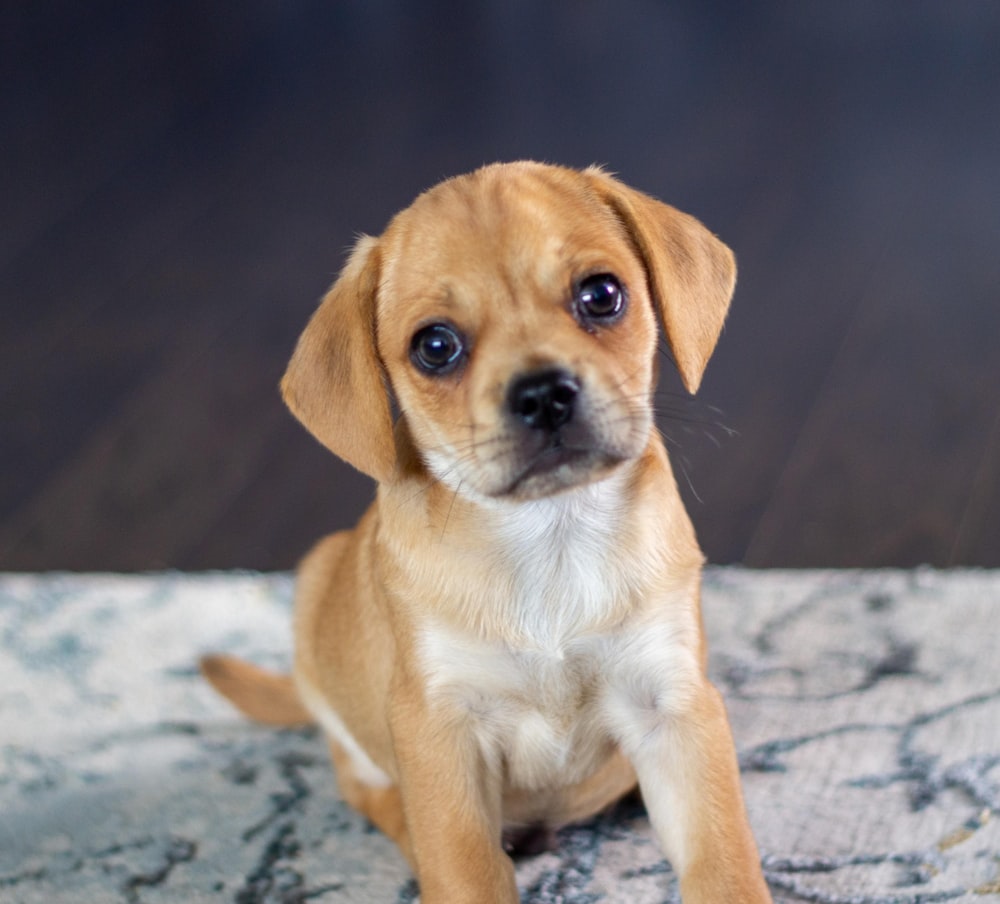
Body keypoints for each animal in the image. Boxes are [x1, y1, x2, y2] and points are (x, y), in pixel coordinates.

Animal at [199, 164, 768, 904]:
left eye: (602, 294)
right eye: (435, 346)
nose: (544, 394)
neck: (551, 538)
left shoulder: (671, 708)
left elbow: (723, 862)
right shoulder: (442, 731)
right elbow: (466, 869)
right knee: (373, 795)